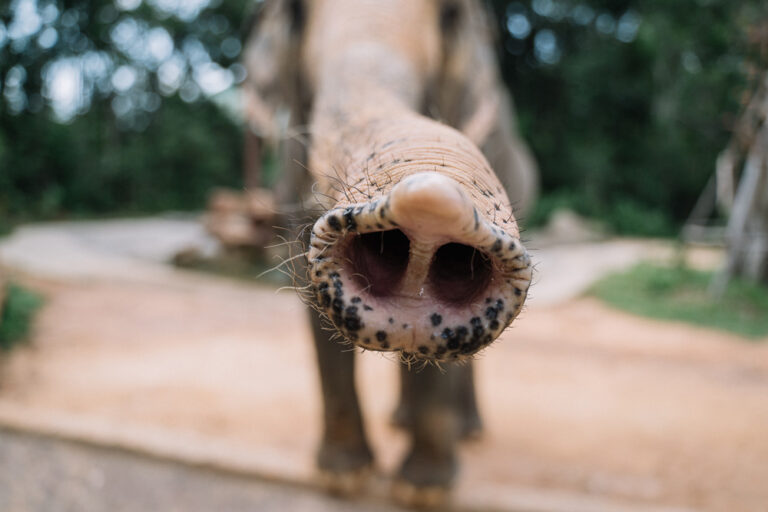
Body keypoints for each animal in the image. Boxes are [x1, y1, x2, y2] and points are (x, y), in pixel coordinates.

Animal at [242, 0, 537, 506]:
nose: (429, 214)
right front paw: (343, 479)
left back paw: (467, 431)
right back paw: (400, 420)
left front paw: (422, 492)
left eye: (451, 17)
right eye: (295, 14)